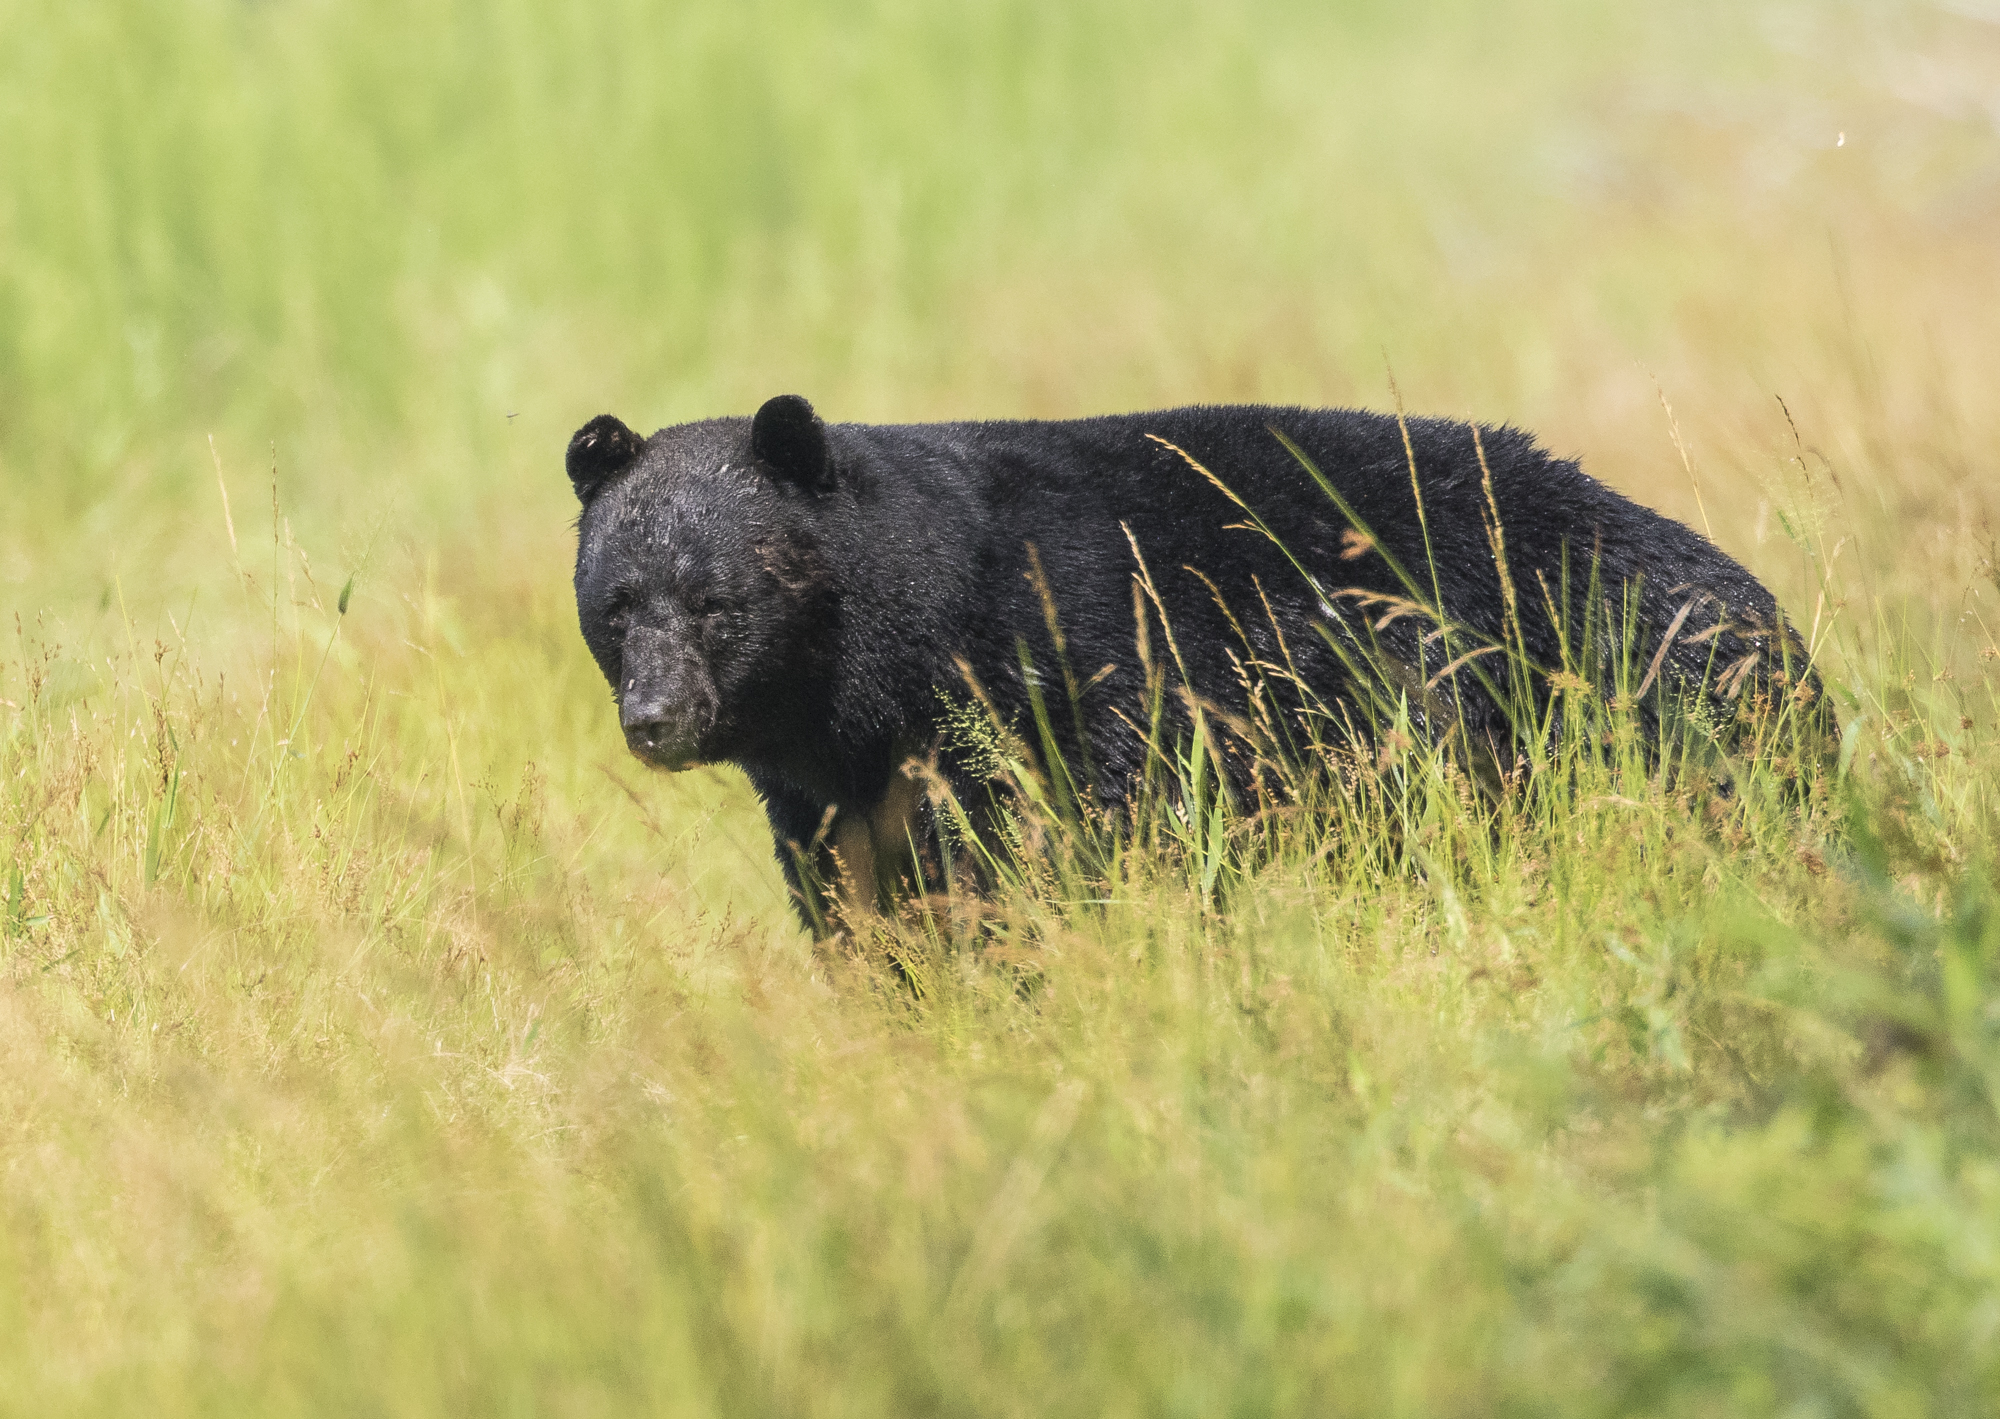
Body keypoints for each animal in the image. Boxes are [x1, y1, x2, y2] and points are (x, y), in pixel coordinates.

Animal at [567, 396, 1817, 930]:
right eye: (616, 607)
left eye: (716, 601)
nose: (656, 718)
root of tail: (1775, 622)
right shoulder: (831, 787)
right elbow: (857, 894)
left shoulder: (1089, 667)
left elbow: (1089, 843)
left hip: (1629, 703)